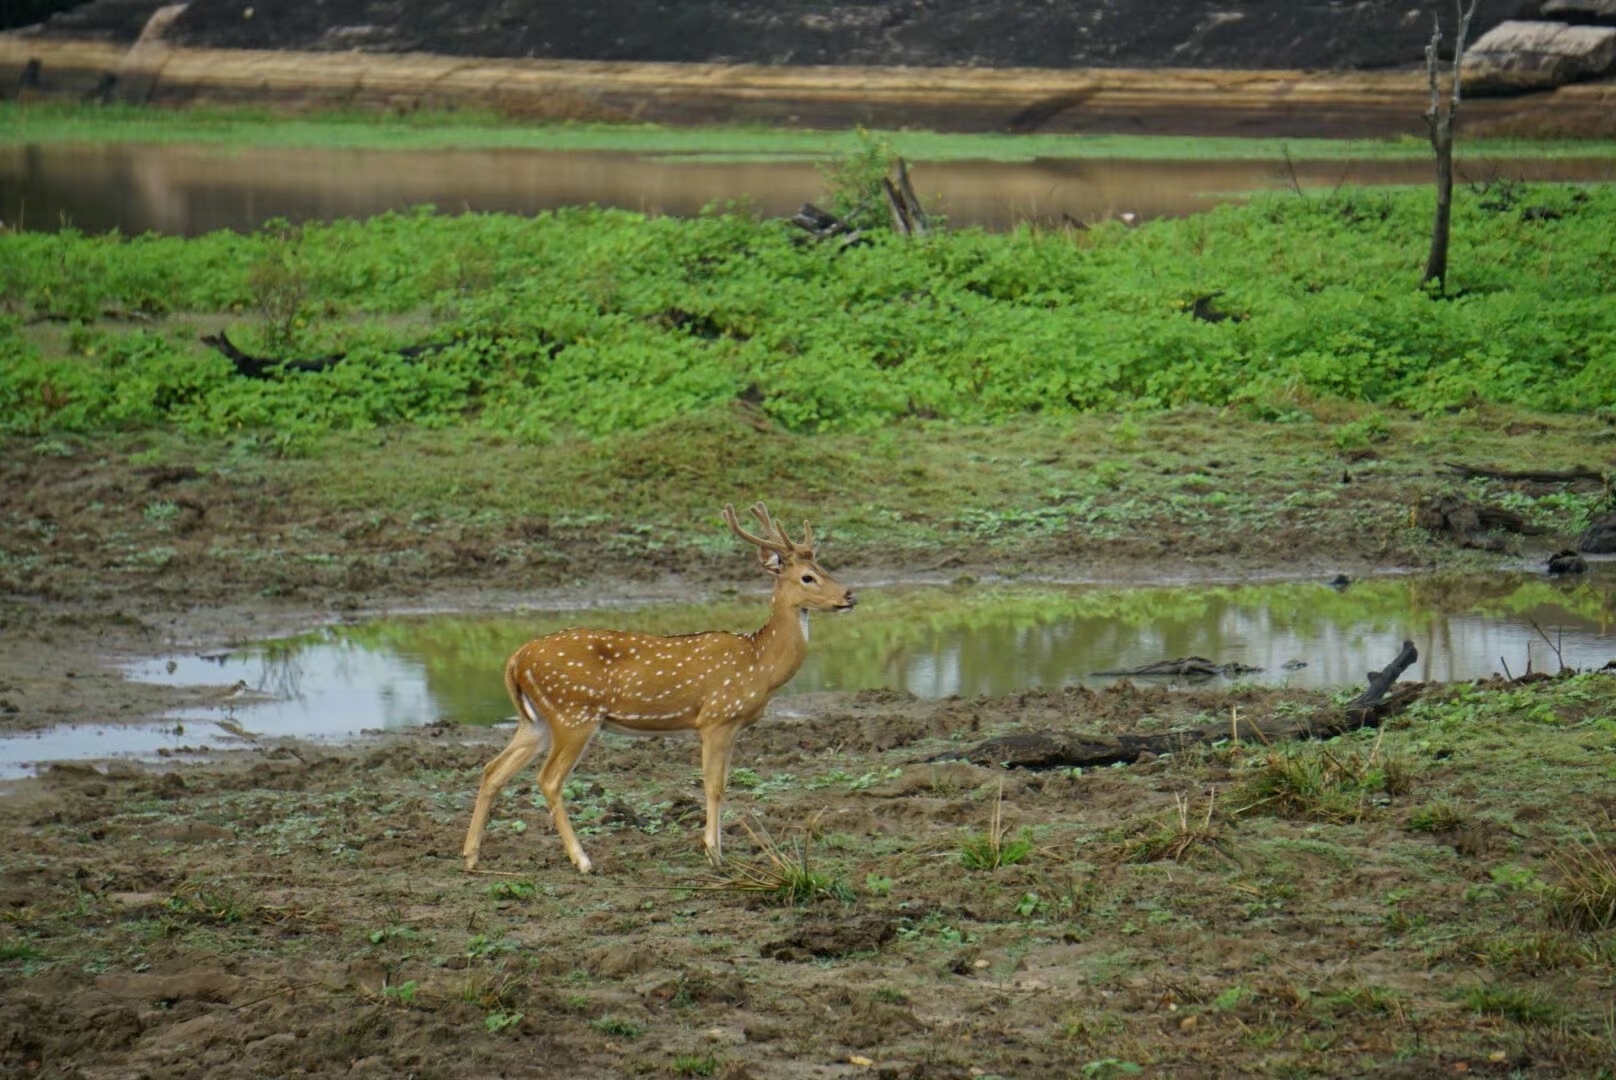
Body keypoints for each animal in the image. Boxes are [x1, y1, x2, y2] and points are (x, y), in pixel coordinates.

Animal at [462, 501, 853, 873]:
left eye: (825, 568)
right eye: (807, 577)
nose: (850, 595)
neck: (759, 664)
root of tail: (516, 660)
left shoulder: (733, 726)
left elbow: (722, 785)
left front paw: (718, 850)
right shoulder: (716, 718)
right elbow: (714, 786)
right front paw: (714, 855)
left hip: (536, 720)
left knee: (492, 769)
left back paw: (471, 857)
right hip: (573, 713)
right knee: (548, 779)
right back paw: (583, 861)